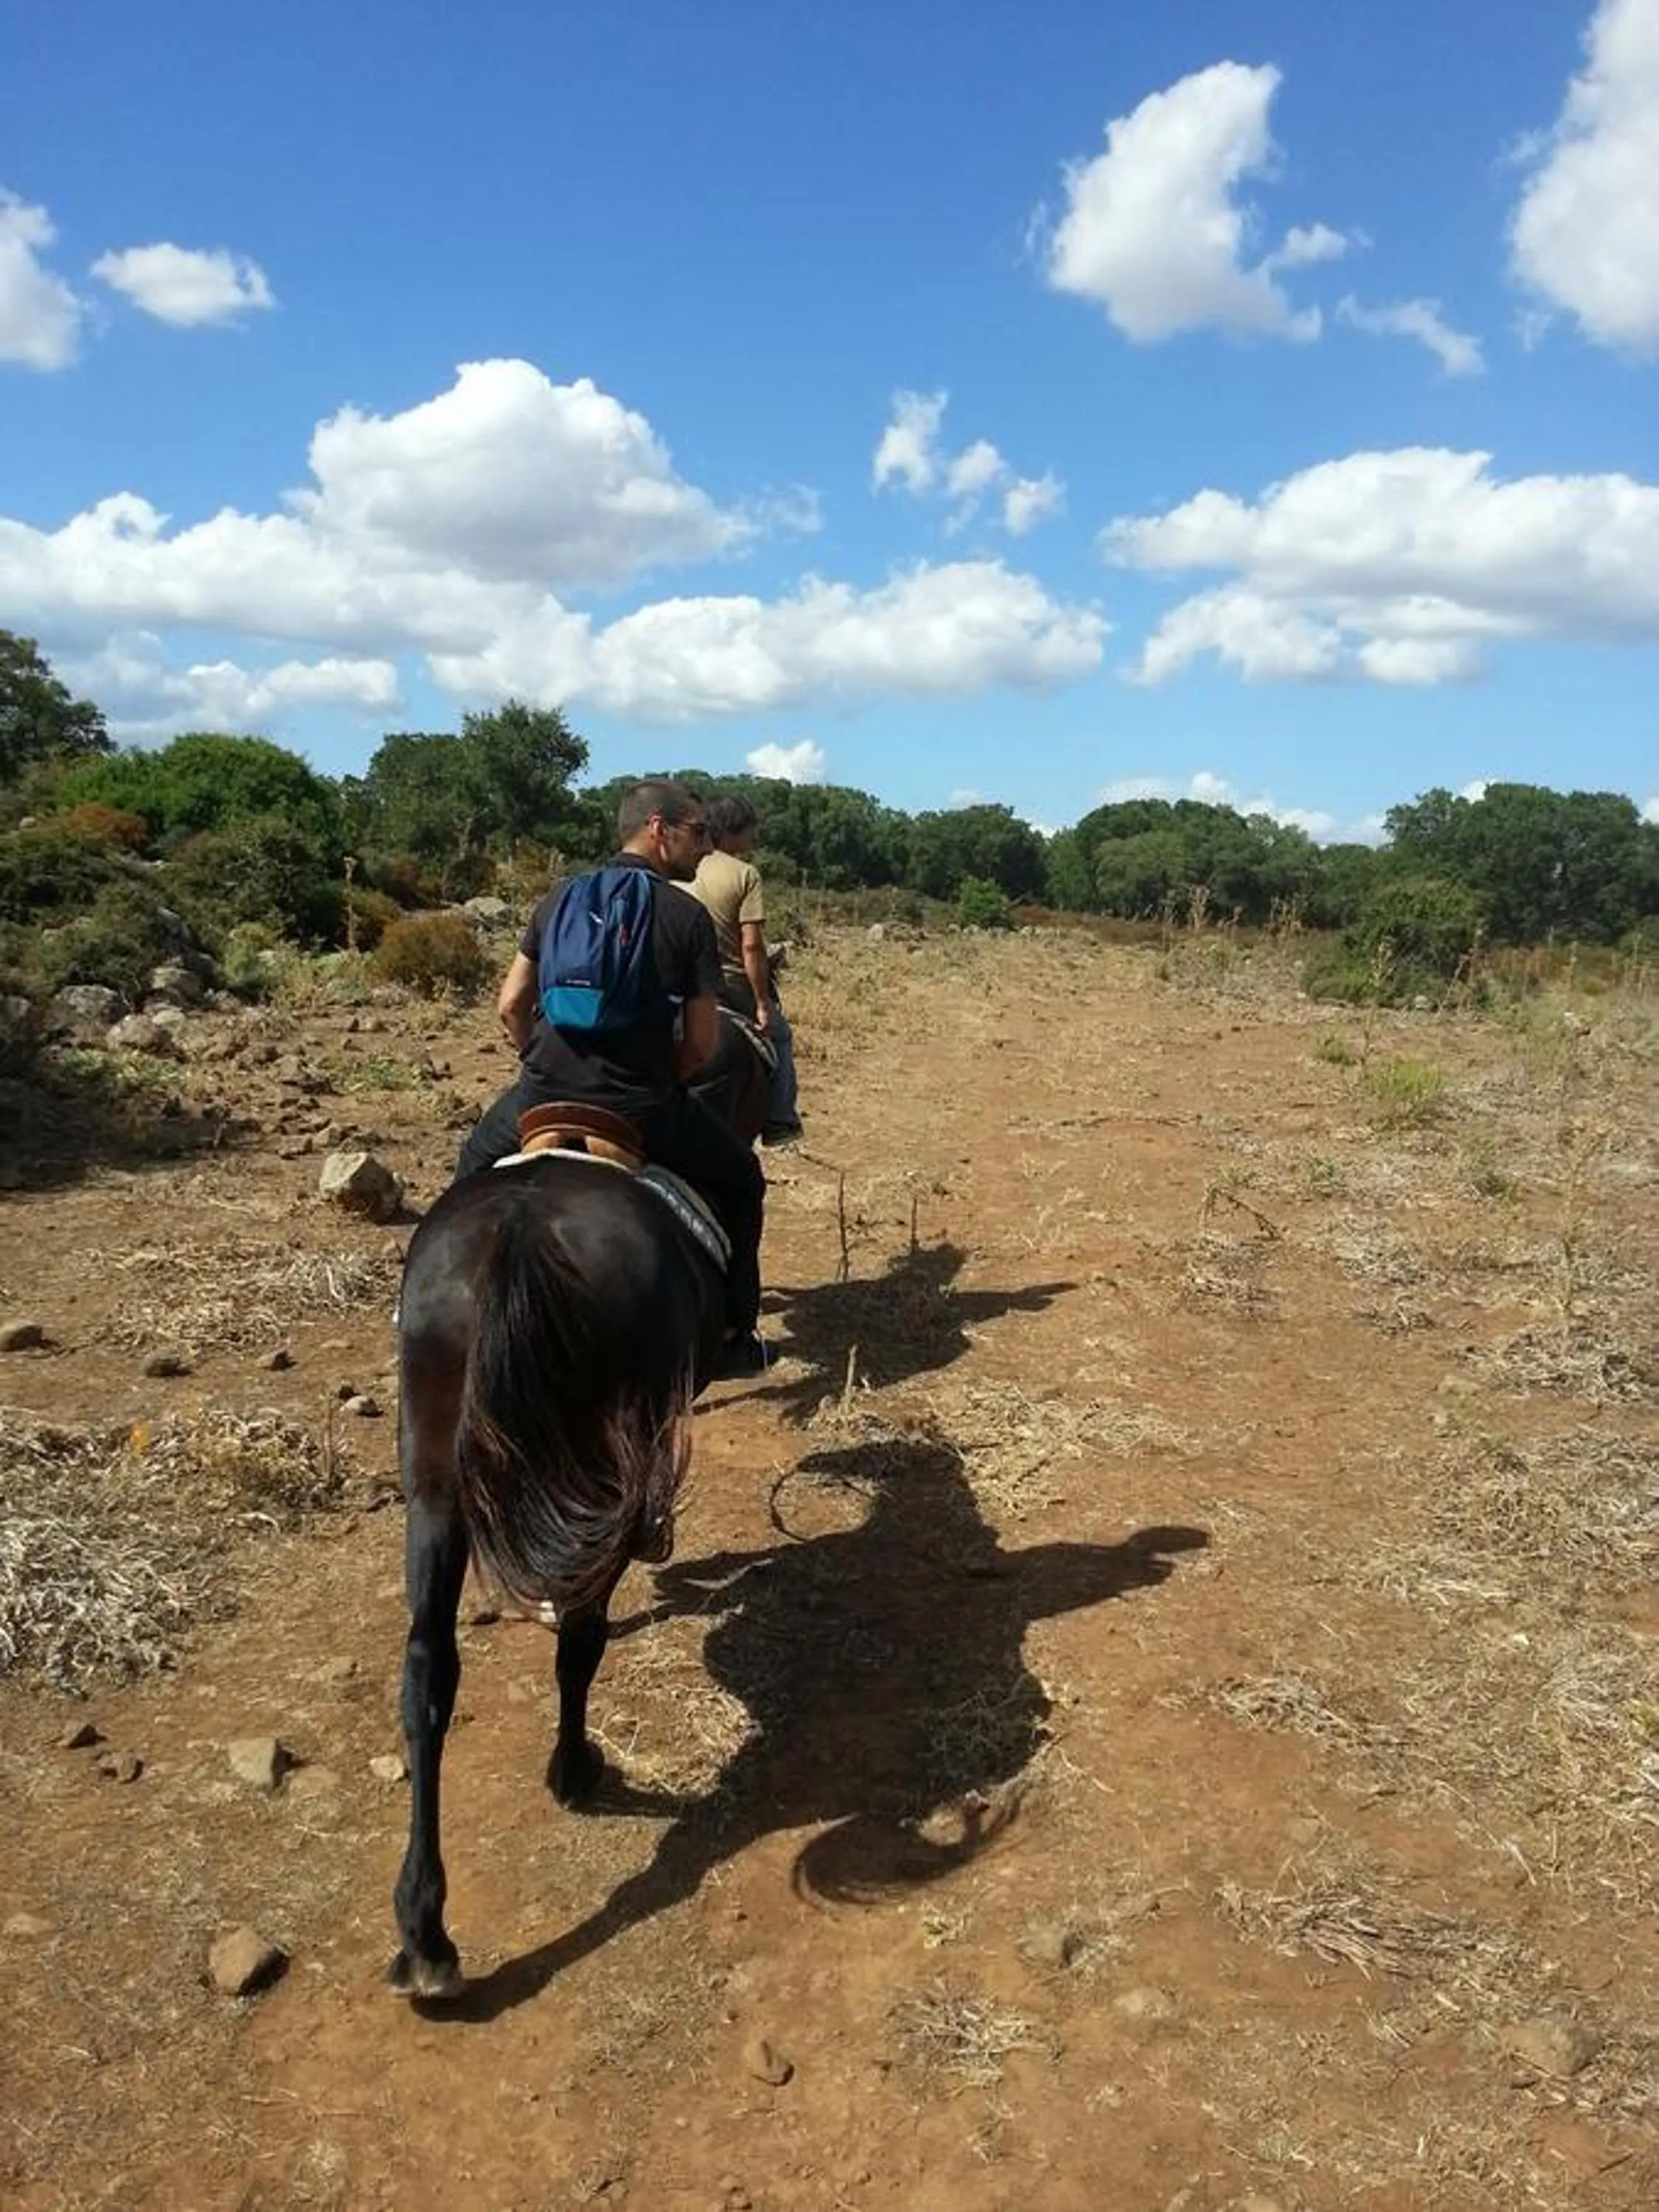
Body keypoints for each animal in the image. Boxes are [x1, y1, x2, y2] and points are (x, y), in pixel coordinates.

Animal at [388, 1022, 773, 2000]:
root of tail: (516, 1235)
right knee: (580, 1640)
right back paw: (574, 1767)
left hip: (436, 1491)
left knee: (428, 1673)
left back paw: (425, 1933)